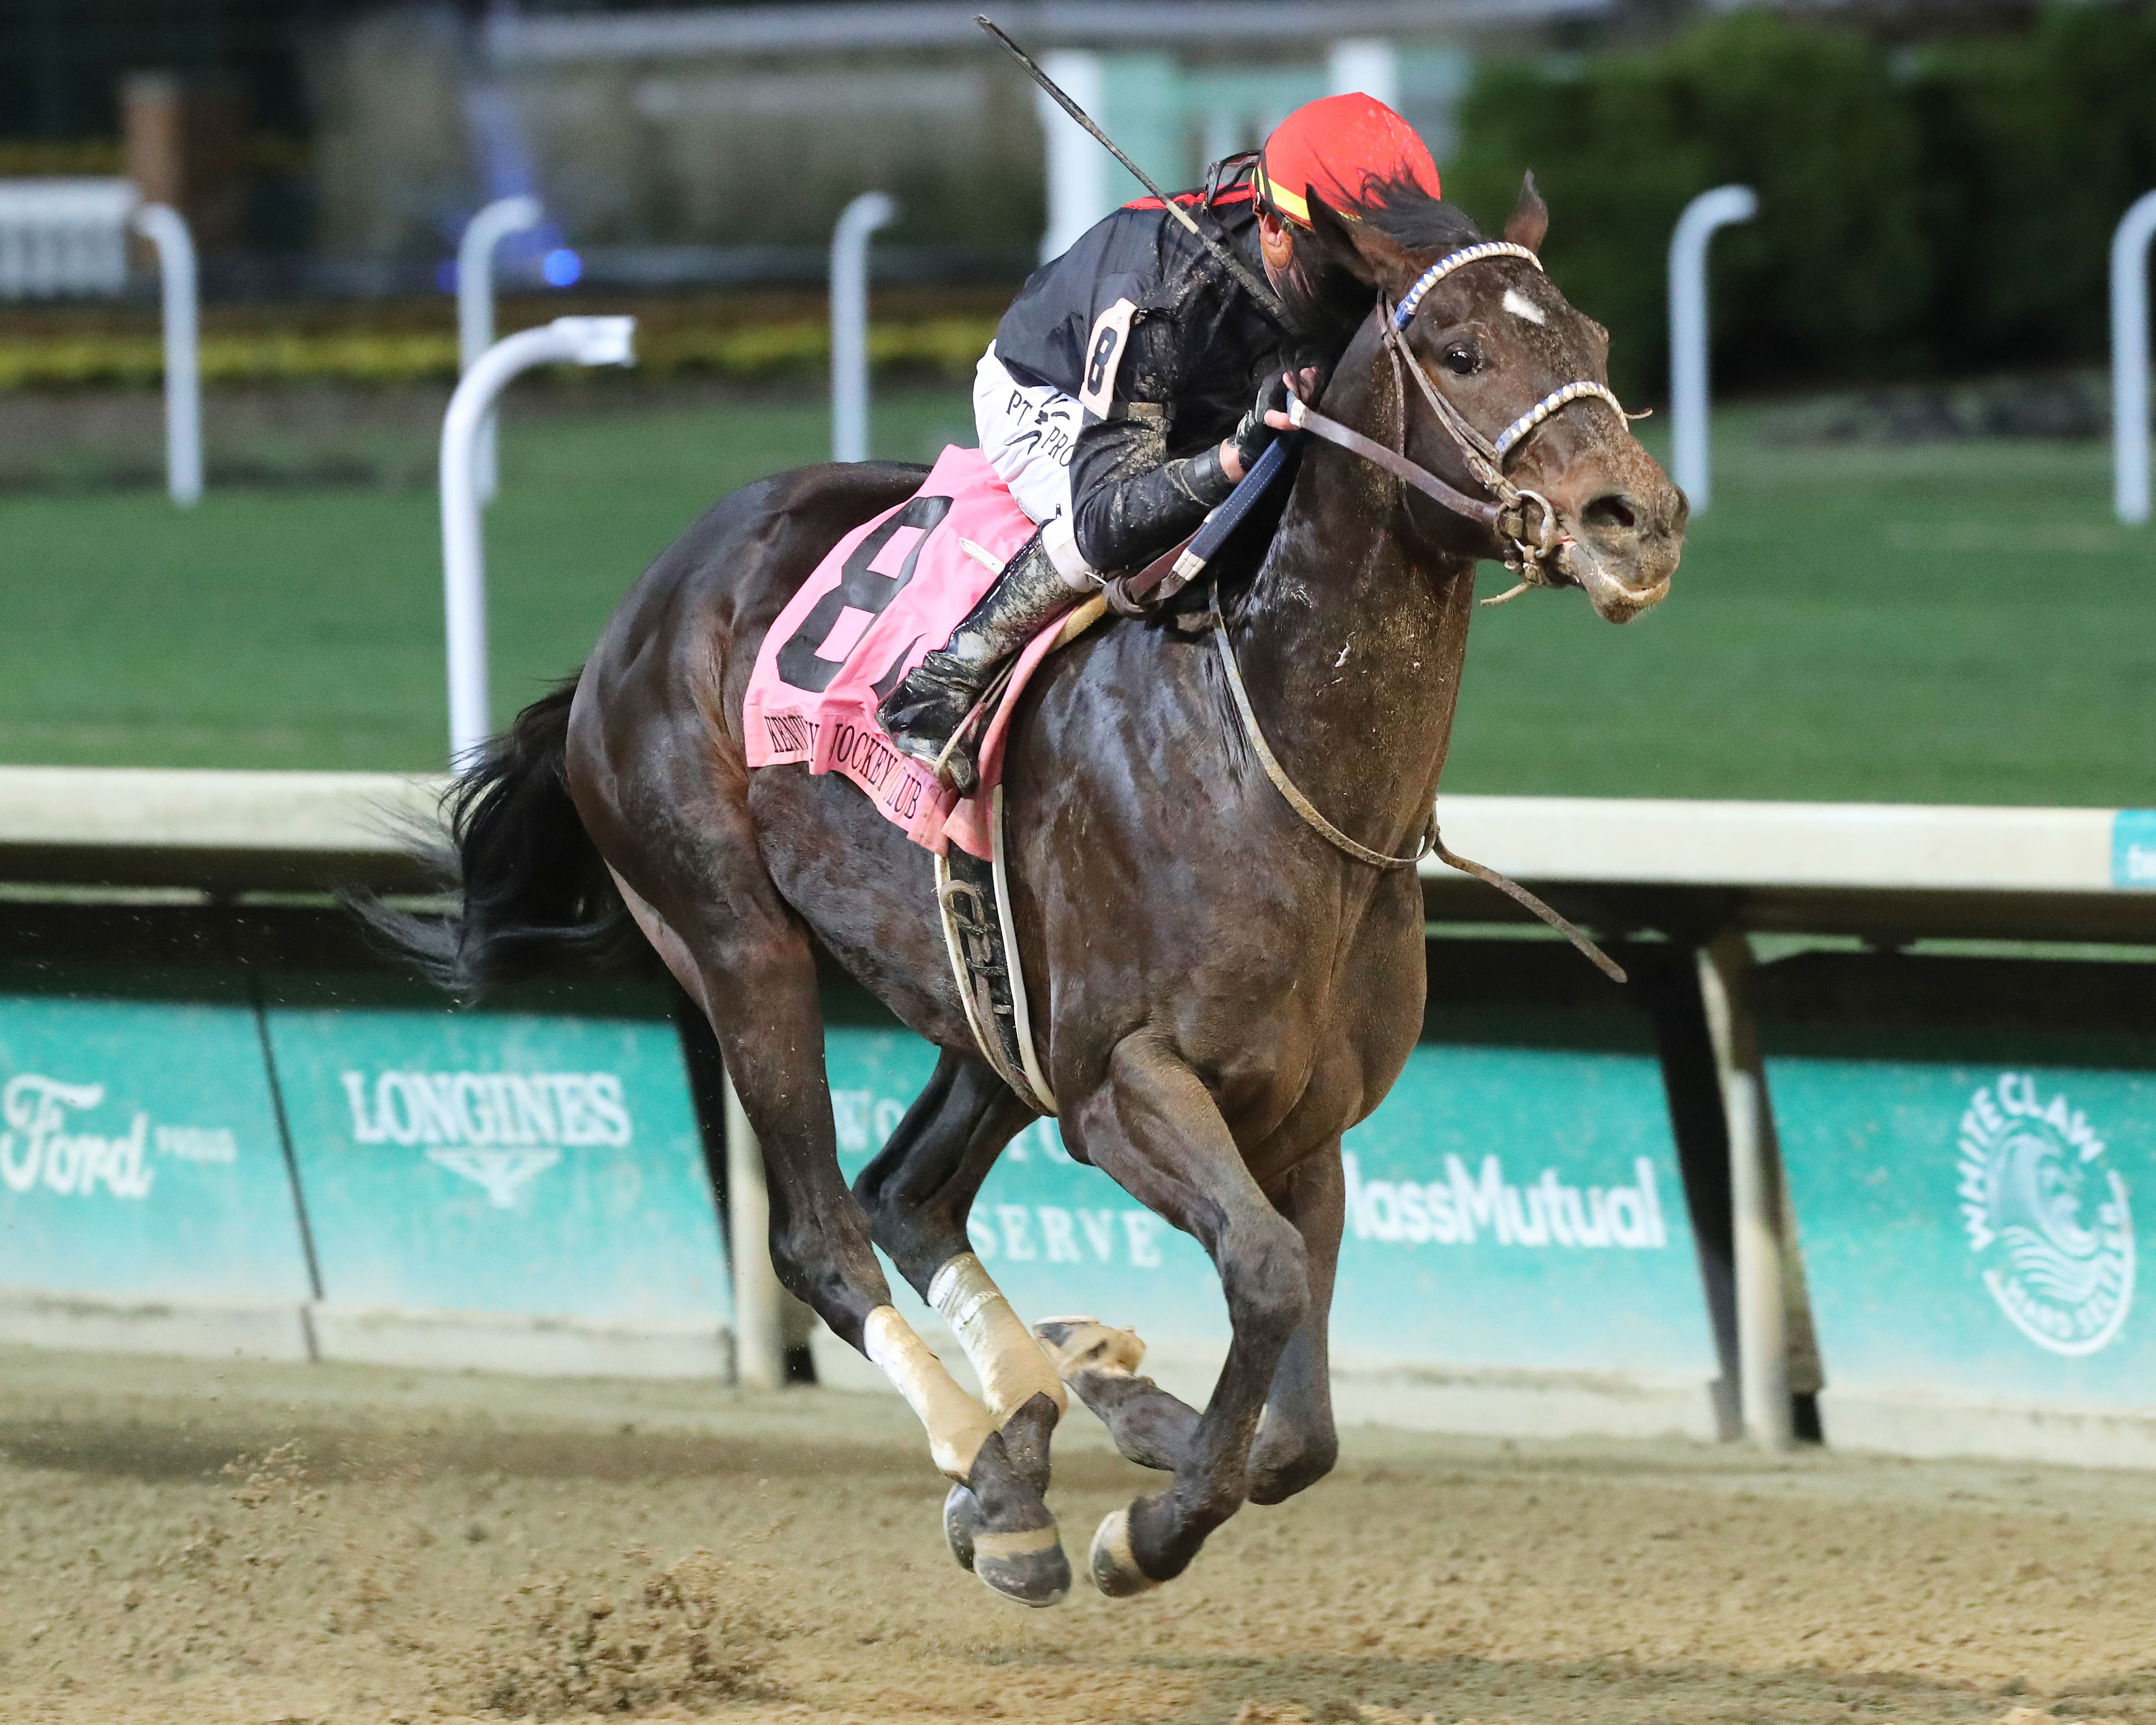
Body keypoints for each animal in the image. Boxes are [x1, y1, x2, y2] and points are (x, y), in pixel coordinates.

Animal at [407, 182, 1682, 1612]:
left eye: (1595, 335)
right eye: (1460, 353)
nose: (1640, 517)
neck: (1261, 757)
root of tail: (634, 617)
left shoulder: (1306, 1120)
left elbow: (1300, 1426)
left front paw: (1122, 1397)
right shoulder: (1124, 1087)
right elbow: (1264, 1276)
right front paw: (1151, 1524)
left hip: (983, 997)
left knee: (909, 1191)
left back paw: (1025, 1429)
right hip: (732, 938)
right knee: (821, 1228)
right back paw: (994, 1471)